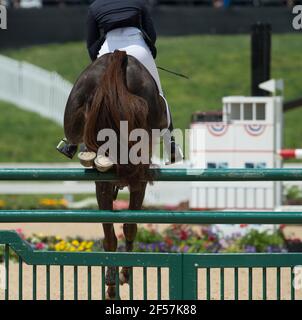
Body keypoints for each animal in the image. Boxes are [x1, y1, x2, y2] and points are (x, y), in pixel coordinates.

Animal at [62, 50, 169, 300]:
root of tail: (118, 56)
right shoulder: (138, 182)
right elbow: (130, 226)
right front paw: (123, 276)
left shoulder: (102, 183)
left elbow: (111, 233)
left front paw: (113, 281)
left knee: (109, 235)